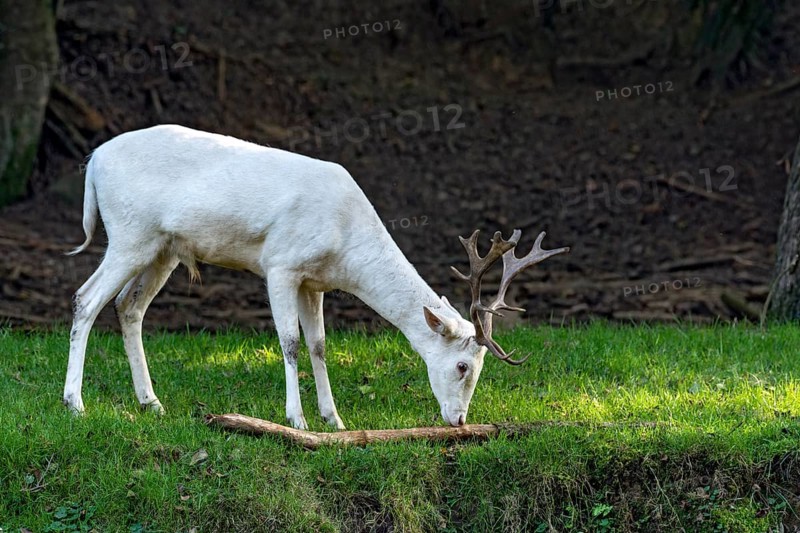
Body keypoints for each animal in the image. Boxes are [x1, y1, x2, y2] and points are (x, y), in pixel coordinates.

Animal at [64, 124, 569, 430]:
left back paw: (150, 402)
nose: (460, 420)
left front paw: (335, 420)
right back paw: (75, 403)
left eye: (481, 367)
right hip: (130, 233)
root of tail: (94, 160)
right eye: (463, 366)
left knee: (128, 306)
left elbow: (320, 345)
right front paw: (297, 419)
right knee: (85, 297)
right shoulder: (280, 265)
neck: (344, 245)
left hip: (164, 248)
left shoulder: (314, 282)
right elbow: (288, 343)